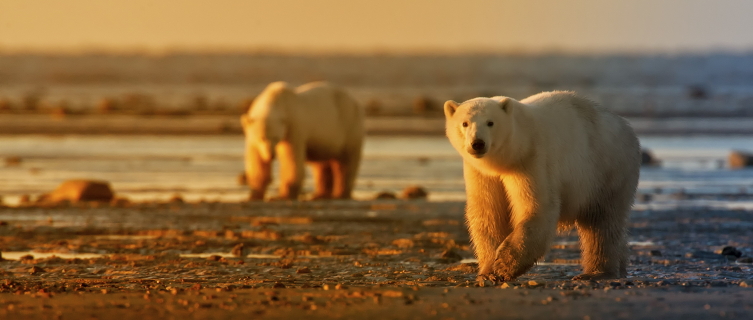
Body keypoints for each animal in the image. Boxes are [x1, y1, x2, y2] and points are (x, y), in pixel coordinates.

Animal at [446, 91, 640, 282]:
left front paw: (504, 265)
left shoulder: (531, 159)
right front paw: (488, 272)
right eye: (465, 123)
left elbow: (537, 207)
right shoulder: (481, 174)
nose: (477, 143)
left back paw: (596, 273)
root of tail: (628, 128)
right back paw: (620, 266)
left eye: (490, 122)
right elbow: (488, 213)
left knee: (602, 221)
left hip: (606, 170)